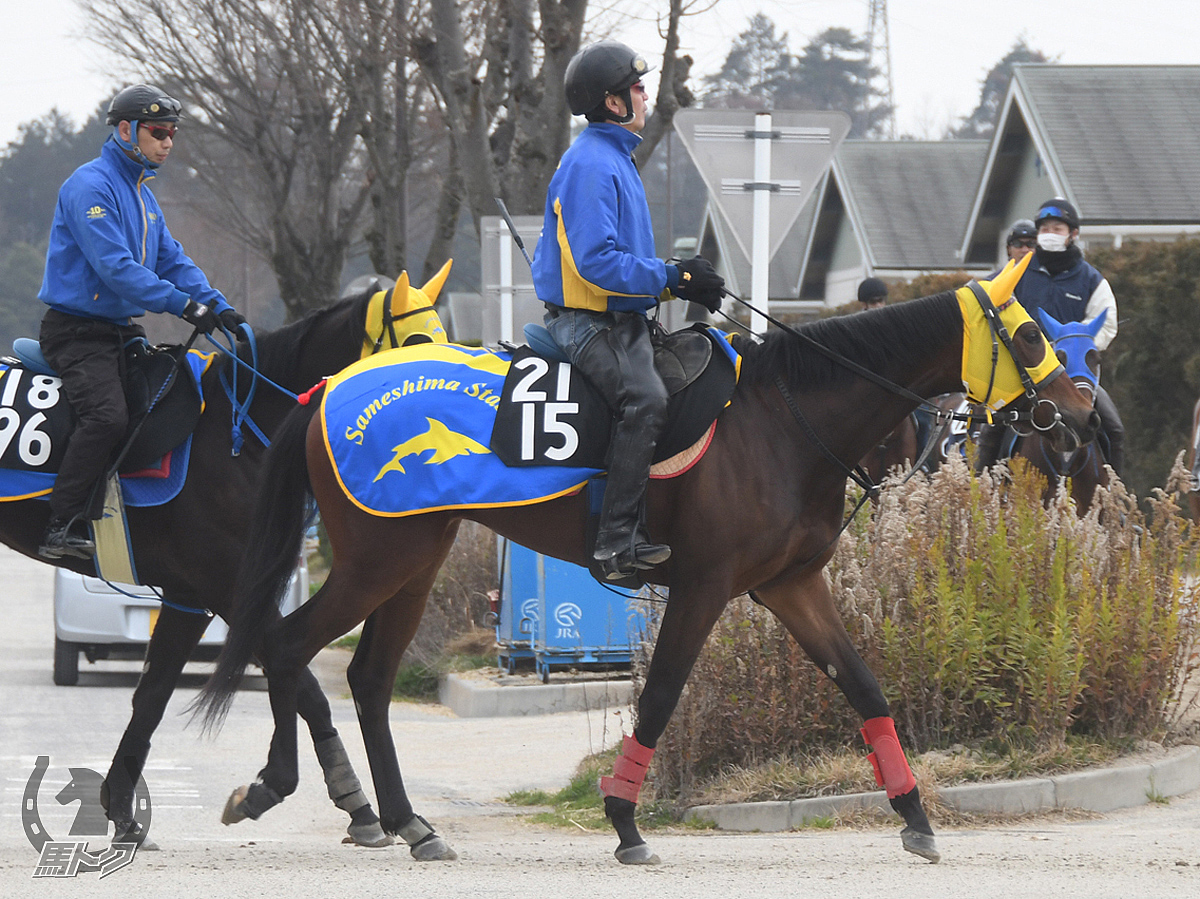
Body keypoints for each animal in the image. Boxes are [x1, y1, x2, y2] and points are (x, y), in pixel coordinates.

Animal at [0, 266, 451, 849]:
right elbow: (305, 684)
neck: (238, 430)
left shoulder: (191, 597)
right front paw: (346, 801)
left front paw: (122, 814)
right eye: (416, 341)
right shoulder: (231, 589)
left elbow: (151, 698)